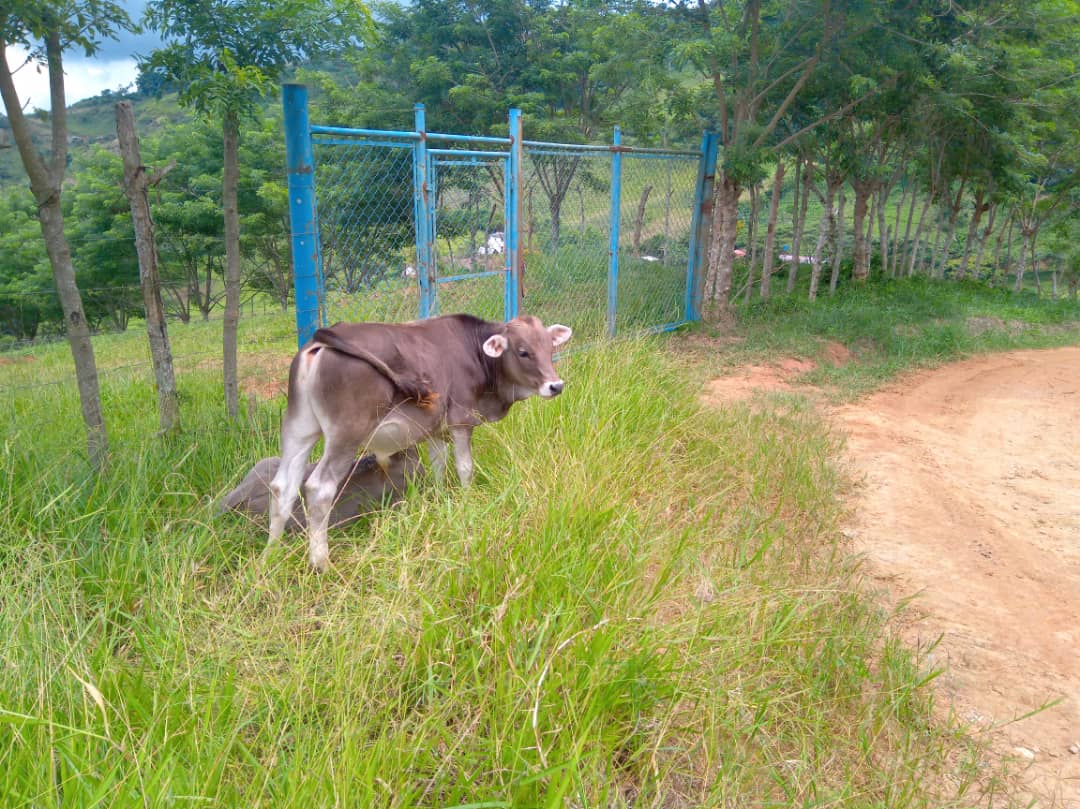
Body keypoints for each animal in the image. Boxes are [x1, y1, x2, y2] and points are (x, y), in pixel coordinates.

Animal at [268, 313, 570, 570]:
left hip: (299, 428)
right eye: (523, 351)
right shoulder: (461, 421)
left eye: (549, 348)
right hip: (346, 435)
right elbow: (465, 468)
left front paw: (440, 500)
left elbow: (438, 465)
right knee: (319, 489)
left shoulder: (436, 430)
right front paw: (467, 502)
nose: (556, 386)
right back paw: (321, 563)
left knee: (282, 485)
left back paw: (271, 553)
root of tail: (321, 339)